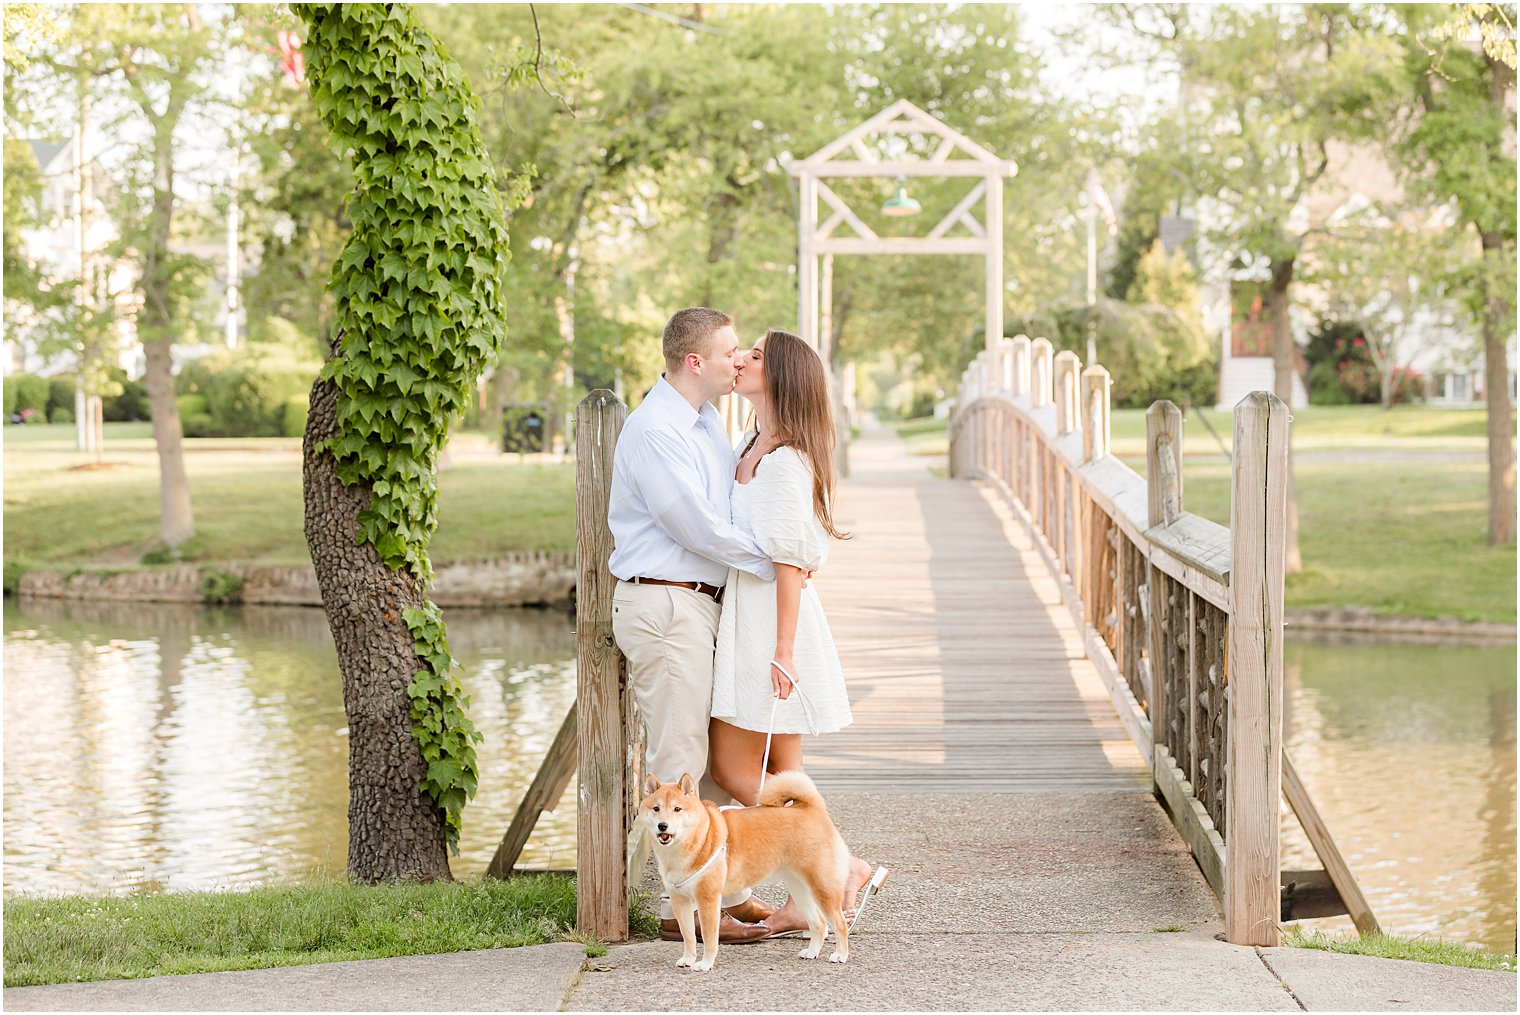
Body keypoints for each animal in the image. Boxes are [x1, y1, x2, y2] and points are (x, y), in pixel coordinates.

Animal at [638, 768, 857, 966]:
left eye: (677, 809)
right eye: (656, 808)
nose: (662, 826)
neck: (696, 840)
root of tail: (811, 809)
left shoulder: (708, 898)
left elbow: (709, 938)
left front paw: (705, 964)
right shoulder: (680, 900)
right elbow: (688, 935)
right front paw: (688, 959)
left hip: (822, 888)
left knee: (839, 924)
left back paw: (841, 955)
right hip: (799, 890)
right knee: (819, 923)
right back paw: (812, 952)